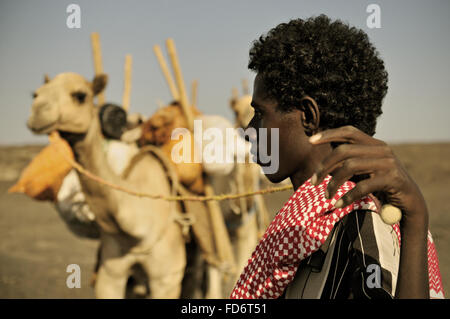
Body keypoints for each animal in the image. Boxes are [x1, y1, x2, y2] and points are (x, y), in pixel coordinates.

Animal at [25, 73, 187, 300]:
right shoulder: (111, 272)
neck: (139, 232)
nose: (38, 112)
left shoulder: (167, 278)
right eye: (36, 94)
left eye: (80, 95)